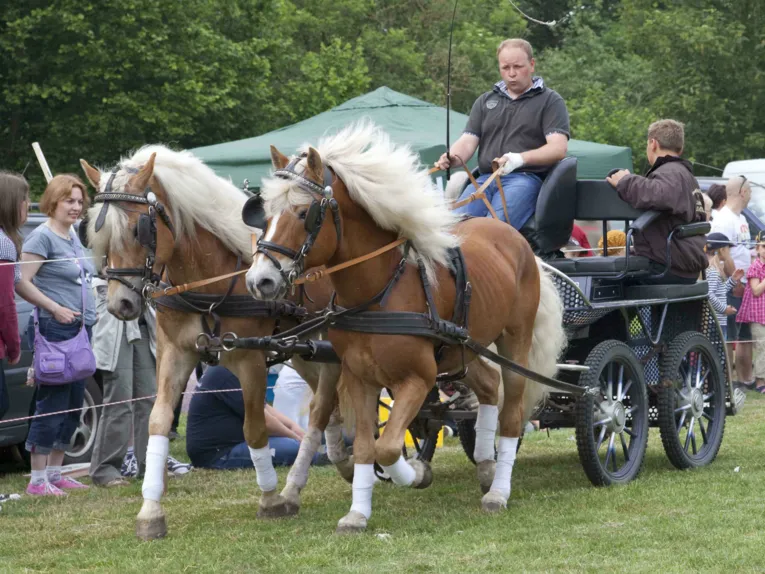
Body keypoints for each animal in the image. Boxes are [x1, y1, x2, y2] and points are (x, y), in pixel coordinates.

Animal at [79, 145, 351, 540]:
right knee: (325, 402)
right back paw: (338, 461)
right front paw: (150, 511)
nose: (121, 304)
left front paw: (269, 499)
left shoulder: (249, 359)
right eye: (95, 234)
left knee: (323, 404)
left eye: (138, 229)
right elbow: (158, 422)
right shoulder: (174, 353)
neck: (208, 279)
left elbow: (254, 429)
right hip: (303, 347)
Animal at [245, 121, 567, 533]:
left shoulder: (418, 378)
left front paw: (415, 472)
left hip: (515, 343)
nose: (260, 281)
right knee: (487, 387)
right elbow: (366, 446)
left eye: (304, 213)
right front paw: (358, 513)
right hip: (462, 350)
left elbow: (386, 447)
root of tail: (518, 241)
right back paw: (485, 464)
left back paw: (498, 490)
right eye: (266, 213)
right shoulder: (359, 378)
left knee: (511, 413)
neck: (380, 292)